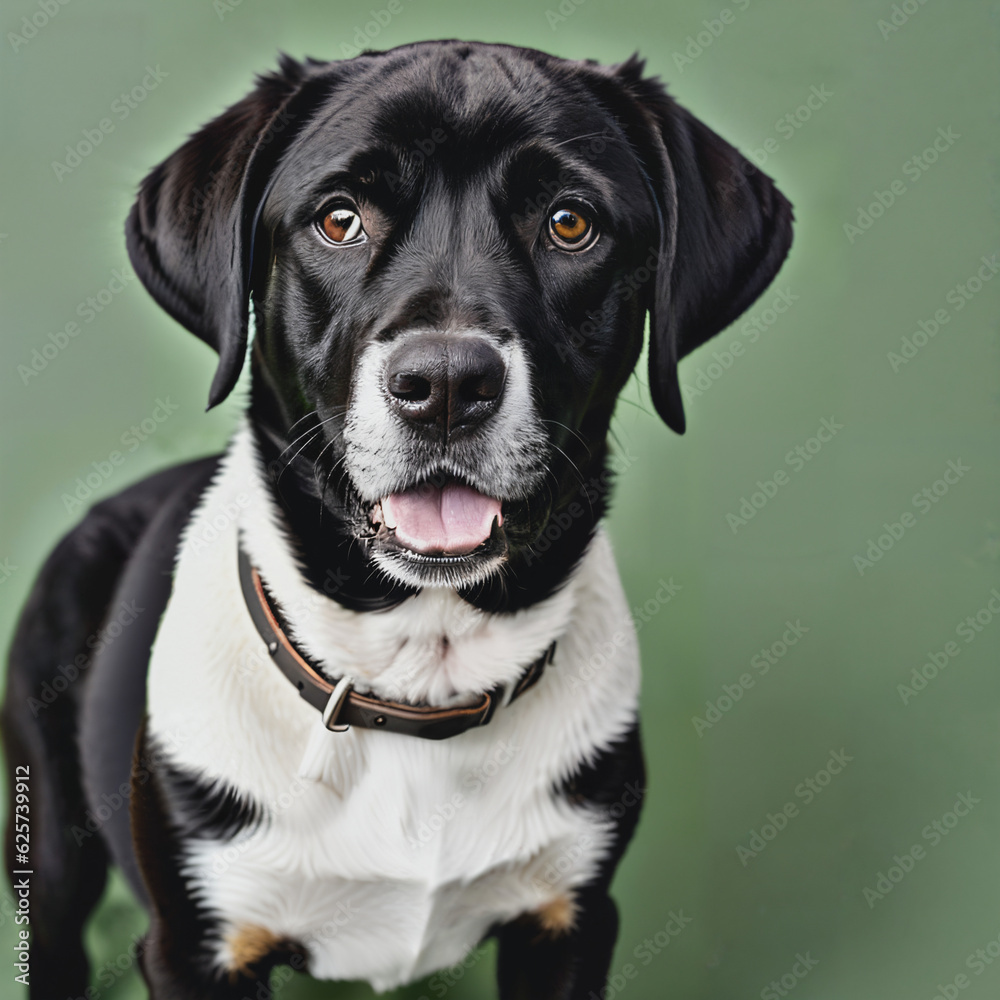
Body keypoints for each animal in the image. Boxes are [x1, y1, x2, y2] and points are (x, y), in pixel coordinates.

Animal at [3, 41, 792, 1000]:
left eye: (571, 223)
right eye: (339, 219)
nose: (446, 384)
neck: (417, 676)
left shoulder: (568, 923)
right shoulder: (195, 946)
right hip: (50, 834)